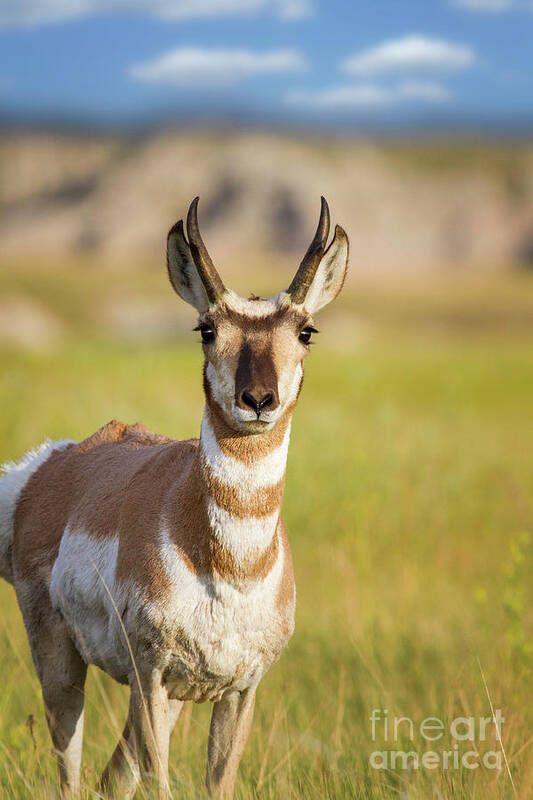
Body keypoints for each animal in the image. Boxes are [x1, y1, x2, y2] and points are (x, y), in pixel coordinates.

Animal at [0, 197, 350, 796]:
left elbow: (217, 783)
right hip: (61, 661)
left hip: (174, 696)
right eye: (206, 328)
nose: (258, 399)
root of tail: (51, 464)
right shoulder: (151, 679)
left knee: (111, 777)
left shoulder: (239, 691)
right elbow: (159, 784)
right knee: (70, 772)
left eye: (306, 331)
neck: (231, 570)